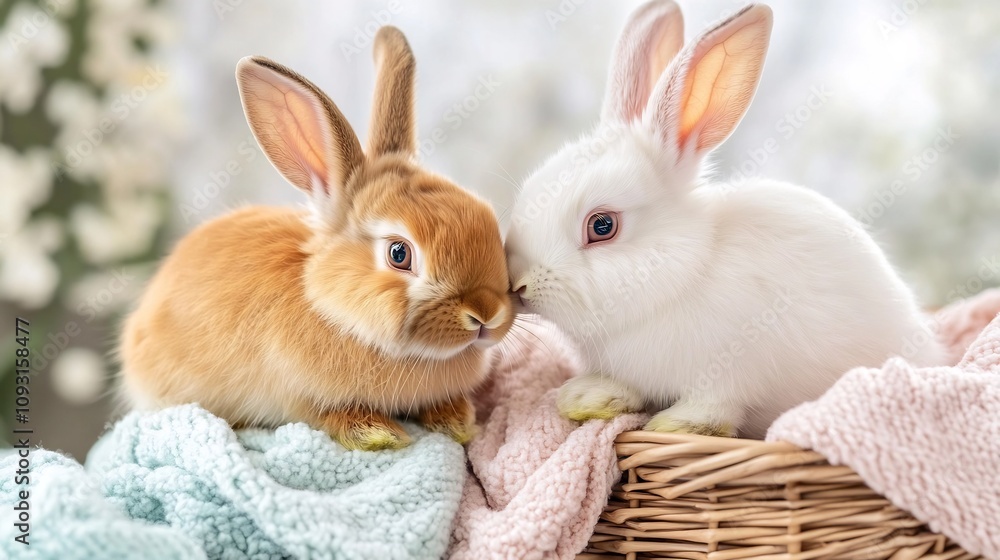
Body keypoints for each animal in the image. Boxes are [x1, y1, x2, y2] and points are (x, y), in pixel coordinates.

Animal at [118, 27, 514, 451]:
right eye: (399, 253)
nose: (486, 313)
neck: (330, 307)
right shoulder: (295, 396)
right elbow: (326, 414)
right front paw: (378, 434)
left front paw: (456, 421)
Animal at [504, 1, 947, 439]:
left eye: (602, 226)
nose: (518, 283)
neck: (682, 275)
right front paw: (583, 398)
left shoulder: (728, 378)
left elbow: (715, 412)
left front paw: (675, 424)